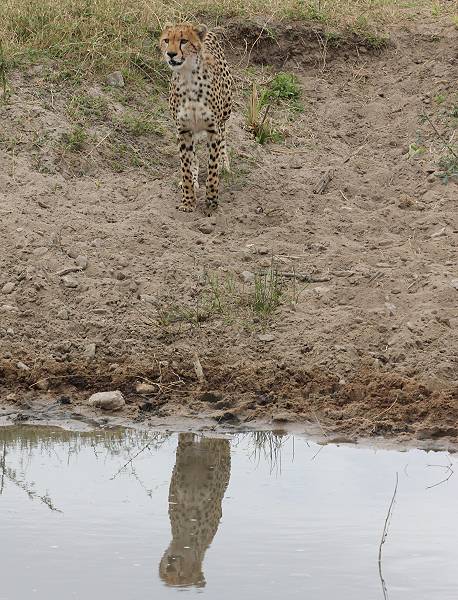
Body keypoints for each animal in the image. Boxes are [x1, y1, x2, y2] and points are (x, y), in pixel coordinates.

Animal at [160, 22, 233, 213]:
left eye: (184, 41)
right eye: (166, 40)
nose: (171, 54)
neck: (188, 76)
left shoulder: (213, 129)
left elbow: (212, 168)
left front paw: (212, 201)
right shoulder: (183, 130)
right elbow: (186, 165)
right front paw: (188, 200)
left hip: (226, 112)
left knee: (224, 134)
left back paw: (224, 163)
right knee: (193, 156)